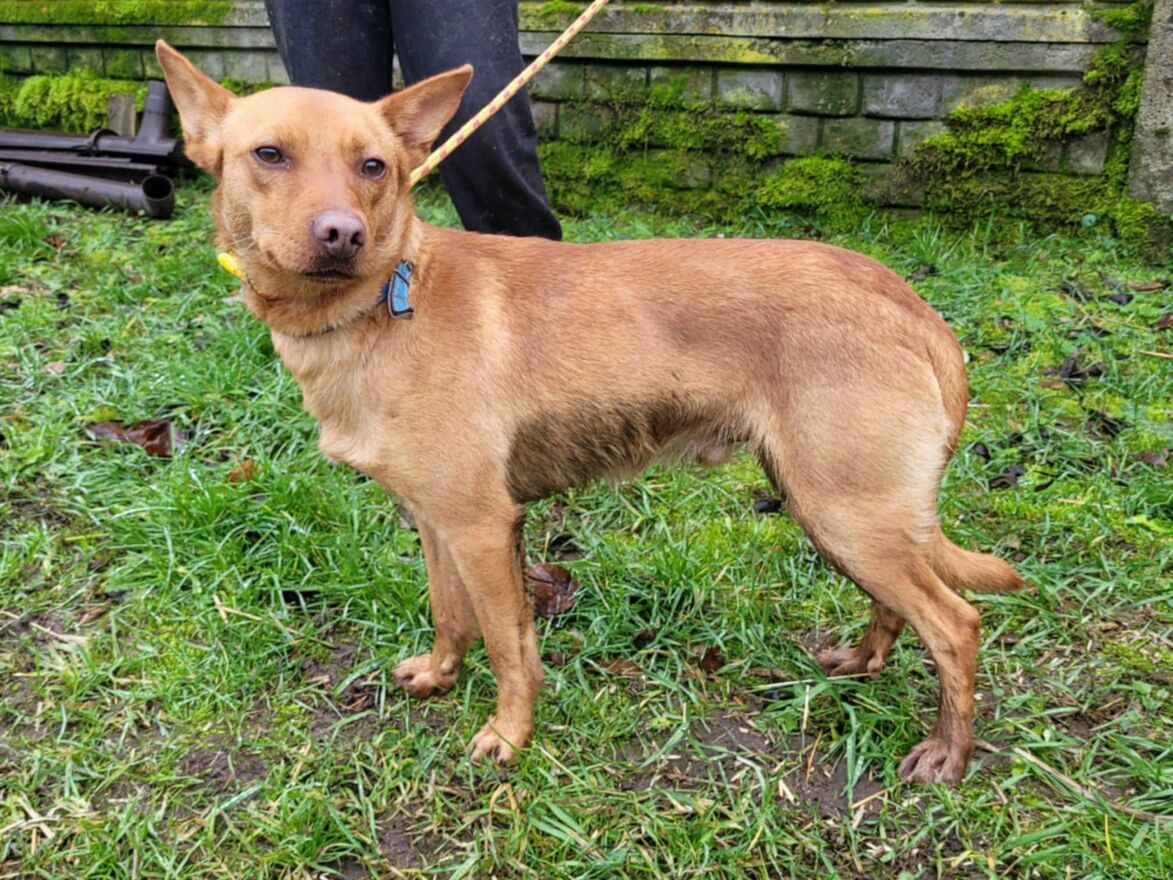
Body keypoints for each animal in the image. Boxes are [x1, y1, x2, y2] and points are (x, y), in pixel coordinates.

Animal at [155, 40, 1026, 784]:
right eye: (269, 155)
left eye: (374, 166)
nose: (343, 235)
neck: (382, 305)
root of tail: (908, 303)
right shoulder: (436, 521)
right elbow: (449, 615)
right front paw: (439, 676)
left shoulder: (482, 527)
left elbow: (508, 645)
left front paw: (508, 736)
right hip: (837, 511)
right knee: (897, 605)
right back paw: (863, 664)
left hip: (845, 511)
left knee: (954, 625)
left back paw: (946, 754)